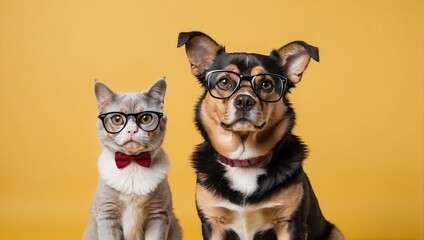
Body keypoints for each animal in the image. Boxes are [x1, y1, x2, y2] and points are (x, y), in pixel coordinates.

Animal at [83, 78, 181, 239]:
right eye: (117, 119)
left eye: (146, 118)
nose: (131, 130)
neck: (133, 164)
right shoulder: (107, 213)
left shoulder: (158, 214)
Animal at [177, 31, 342, 240]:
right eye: (224, 81)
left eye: (266, 84)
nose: (244, 101)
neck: (244, 160)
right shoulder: (213, 222)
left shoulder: (290, 223)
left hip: (335, 232)